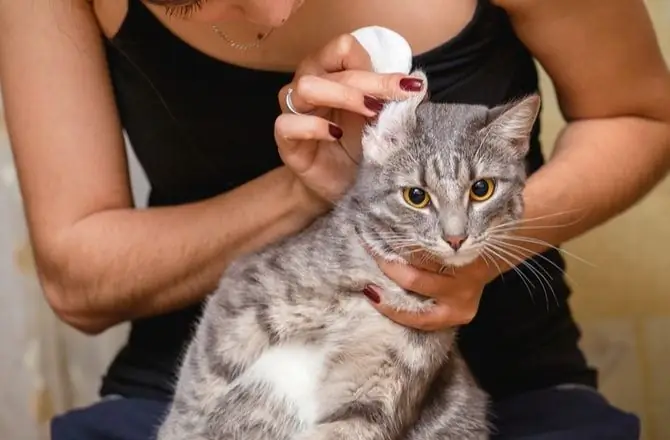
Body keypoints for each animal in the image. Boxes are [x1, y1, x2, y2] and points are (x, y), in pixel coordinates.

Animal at [156, 69, 540, 440]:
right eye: (416, 196)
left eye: (481, 189)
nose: (456, 237)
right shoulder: (244, 291)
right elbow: (200, 387)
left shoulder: (376, 395)